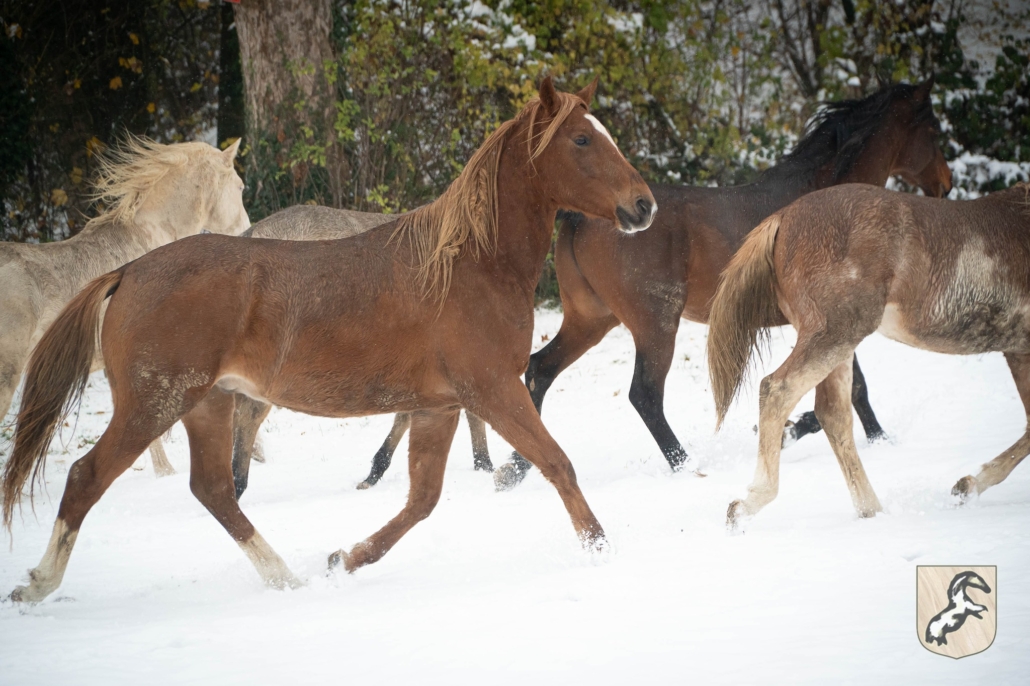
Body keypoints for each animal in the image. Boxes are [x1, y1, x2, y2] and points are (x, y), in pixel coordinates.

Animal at [494, 77, 951, 488]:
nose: (945, 184)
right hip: (655, 323)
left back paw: (514, 469)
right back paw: (686, 466)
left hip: (591, 319)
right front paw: (866, 437)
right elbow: (854, 387)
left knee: (540, 369)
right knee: (644, 395)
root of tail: (579, 218)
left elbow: (847, 387)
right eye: (932, 130)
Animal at [708, 180, 1030, 523]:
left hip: (837, 345)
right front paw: (967, 486)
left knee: (833, 414)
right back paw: (748, 504)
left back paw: (870, 511)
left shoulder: (1018, 350)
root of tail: (784, 217)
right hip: (836, 335)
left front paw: (967, 486)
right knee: (777, 390)